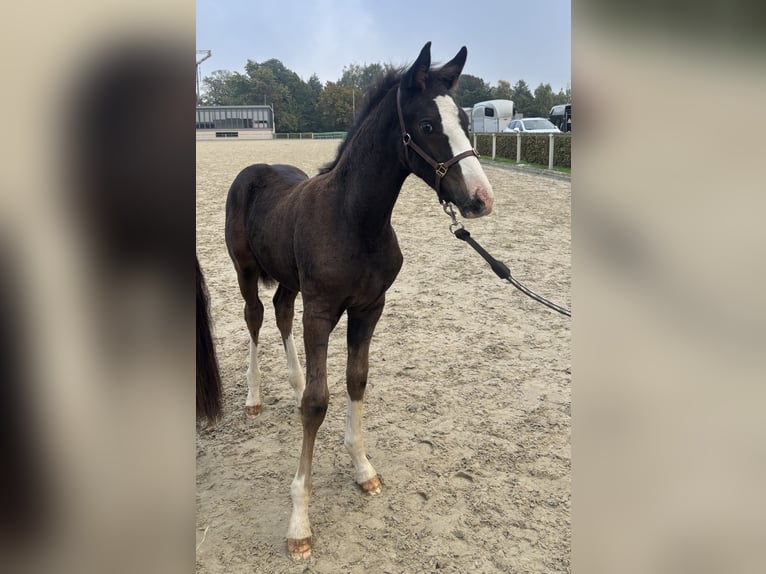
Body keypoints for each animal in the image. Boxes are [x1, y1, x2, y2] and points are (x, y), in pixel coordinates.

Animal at [208, 42, 494, 560]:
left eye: (465, 118)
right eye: (427, 125)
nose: (481, 198)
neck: (355, 219)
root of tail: (255, 170)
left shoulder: (369, 308)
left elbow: (355, 381)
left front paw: (363, 469)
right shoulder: (321, 312)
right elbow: (317, 404)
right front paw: (299, 522)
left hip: (289, 280)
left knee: (281, 313)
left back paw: (295, 379)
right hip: (245, 273)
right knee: (255, 319)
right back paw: (254, 397)